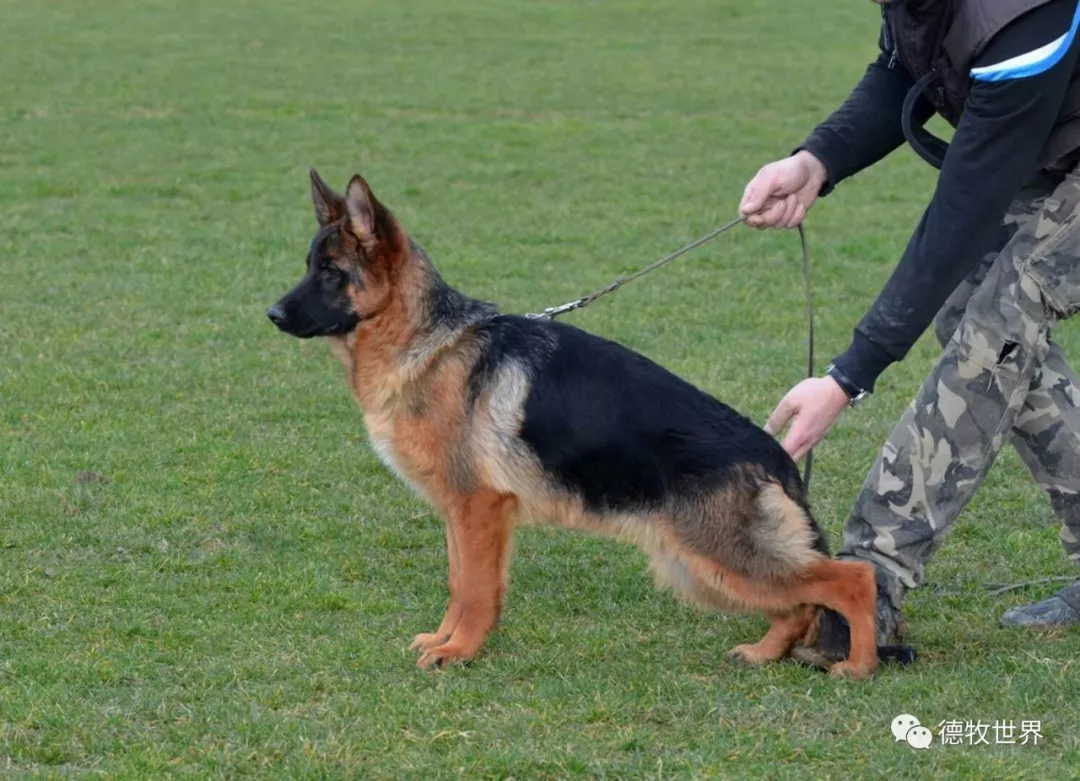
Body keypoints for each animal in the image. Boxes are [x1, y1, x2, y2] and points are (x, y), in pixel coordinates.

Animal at [267, 170, 894, 678]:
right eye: (309, 267)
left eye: (331, 272)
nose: (270, 314)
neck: (429, 342)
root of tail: (776, 455)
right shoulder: (459, 514)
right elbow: (457, 583)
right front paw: (444, 640)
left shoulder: (480, 510)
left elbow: (476, 591)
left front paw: (460, 652)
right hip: (701, 566)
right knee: (802, 602)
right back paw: (765, 654)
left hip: (719, 557)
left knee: (851, 580)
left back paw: (859, 665)